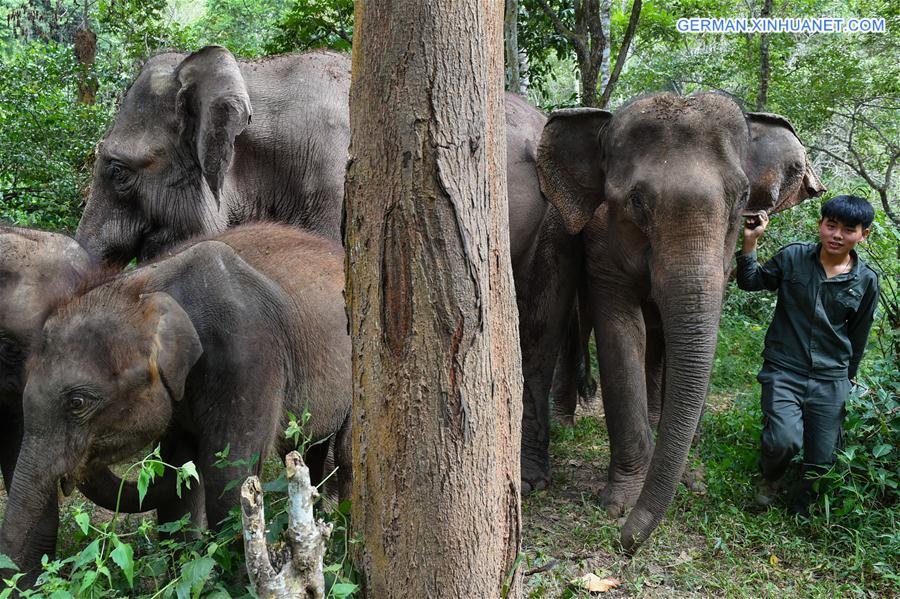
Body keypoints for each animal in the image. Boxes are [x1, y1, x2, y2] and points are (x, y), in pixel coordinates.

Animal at [0, 224, 352, 576]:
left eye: (77, 402)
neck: (146, 288)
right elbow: (181, 476)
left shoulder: (250, 354)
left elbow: (228, 476)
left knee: (346, 452)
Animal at [532, 91, 828, 552]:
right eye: (636, 202)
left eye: (743, 198)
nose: (626, 543)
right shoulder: (602, 249)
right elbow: (622, 332)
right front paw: (619, 503)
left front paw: (694, 483)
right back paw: (568, 421)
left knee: (658, 342)